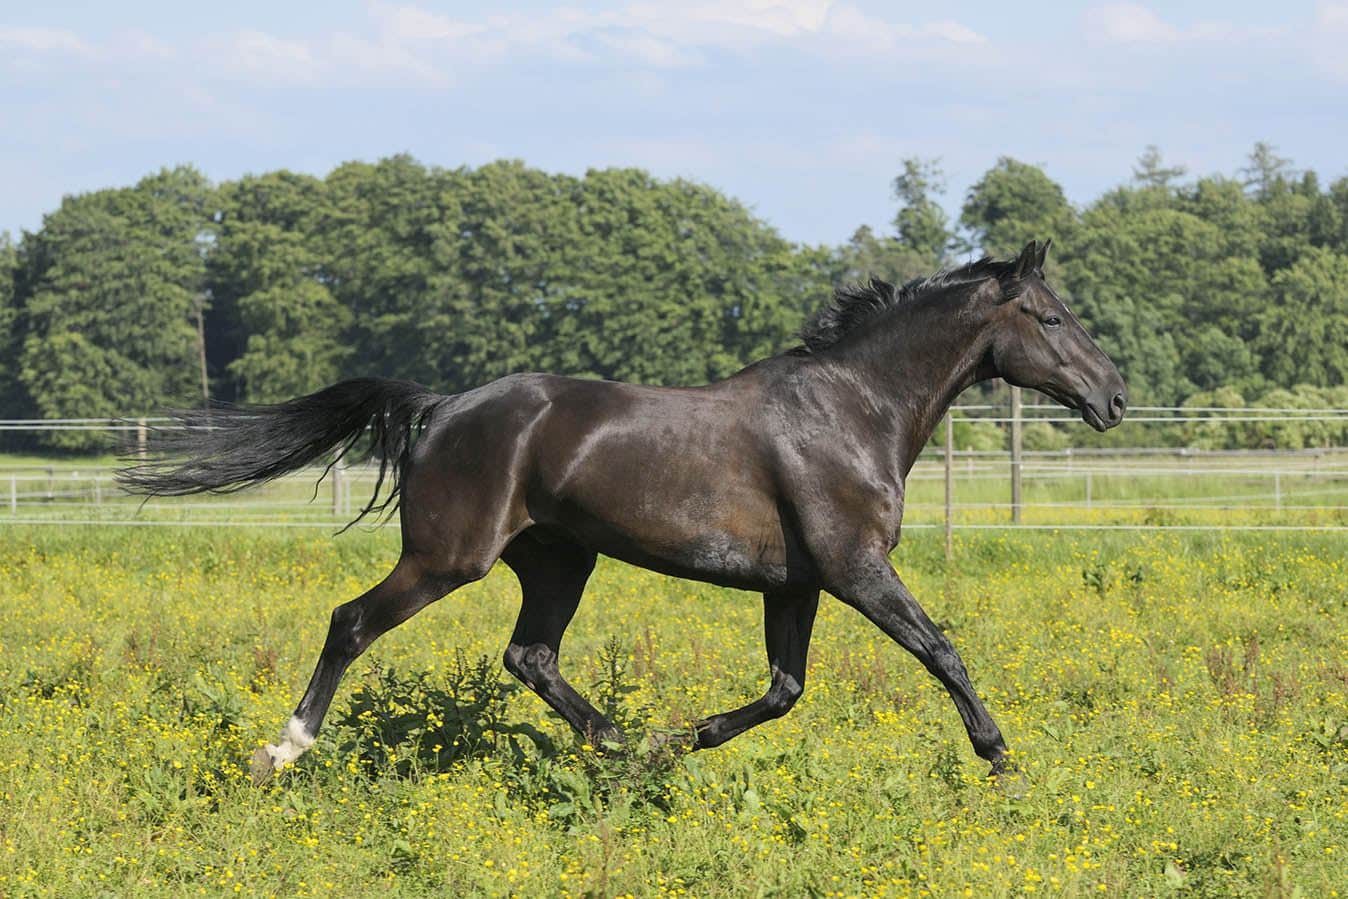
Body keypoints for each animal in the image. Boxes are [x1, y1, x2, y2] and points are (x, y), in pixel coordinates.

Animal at [119, 239, 1126, 783]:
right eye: (1051, 318)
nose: (1113, 397)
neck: (852, 408)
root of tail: (439, 408)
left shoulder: (796, 583)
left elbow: (784, 689)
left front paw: (689, 737)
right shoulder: (856, 568)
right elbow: (940, 649)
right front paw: (1001, 759)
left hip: (559, 559)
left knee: (530, 655)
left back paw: (626, 745)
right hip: (449, 558)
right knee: (352, 622)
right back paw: (282, 751)